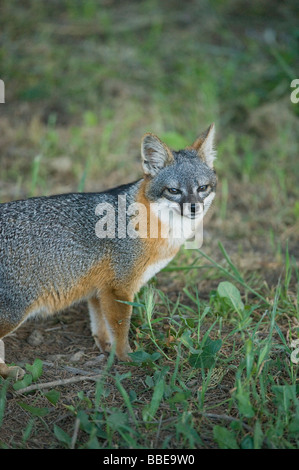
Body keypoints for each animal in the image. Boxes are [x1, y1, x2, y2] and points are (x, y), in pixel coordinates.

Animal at [0, 124, 218, 378]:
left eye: (202, 188)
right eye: (174, 190)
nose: (194, 208)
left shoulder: (99, 289)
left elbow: (101, 325)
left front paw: (106, 348)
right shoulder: (119, 288)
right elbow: (121, 329)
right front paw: (127, 357)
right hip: (14, 313)